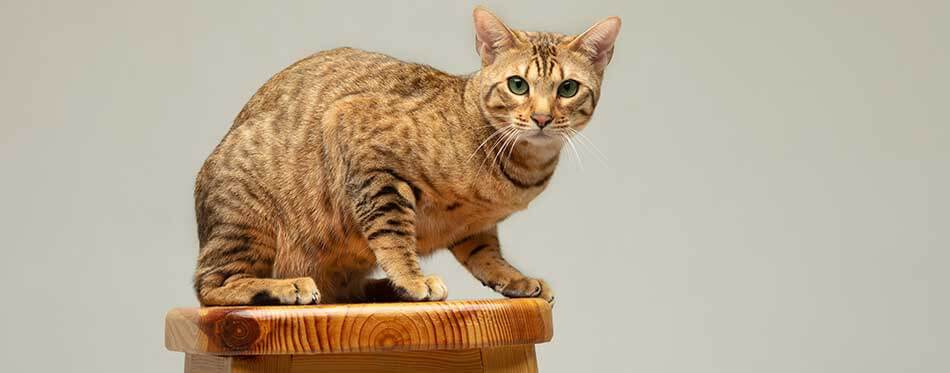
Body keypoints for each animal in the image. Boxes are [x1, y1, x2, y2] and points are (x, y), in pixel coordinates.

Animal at [194, 7, 624, 306]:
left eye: (568, 88)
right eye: (518, 85)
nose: (542, 118)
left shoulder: (476, 226)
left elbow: (487, 255)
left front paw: (516, 279)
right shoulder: (354, 131)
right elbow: (393, 232)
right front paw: (413, 279)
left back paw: (379, 289)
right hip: (248, 219)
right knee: (209, 285)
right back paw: (288, 286)